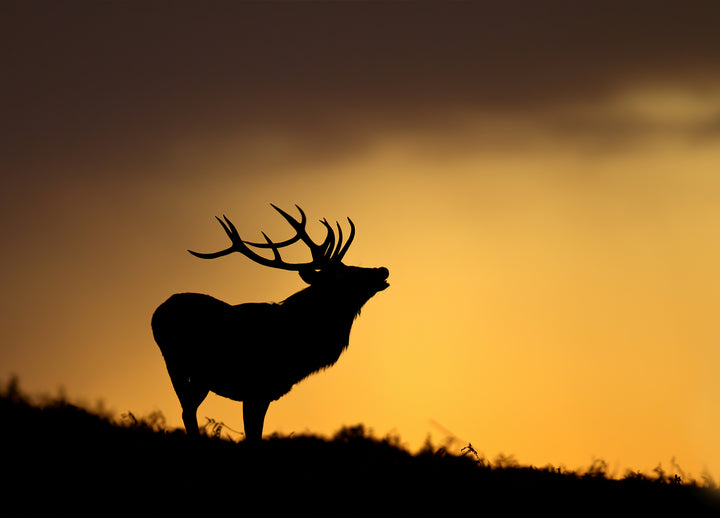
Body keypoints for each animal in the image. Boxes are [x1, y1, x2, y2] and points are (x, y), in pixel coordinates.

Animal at [151, 204, 389, 441]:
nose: (382, 270)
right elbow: (253, 436)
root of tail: (156, 313)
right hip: (186, 367)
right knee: (188, 411)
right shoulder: (255, 389)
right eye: (345, 274)